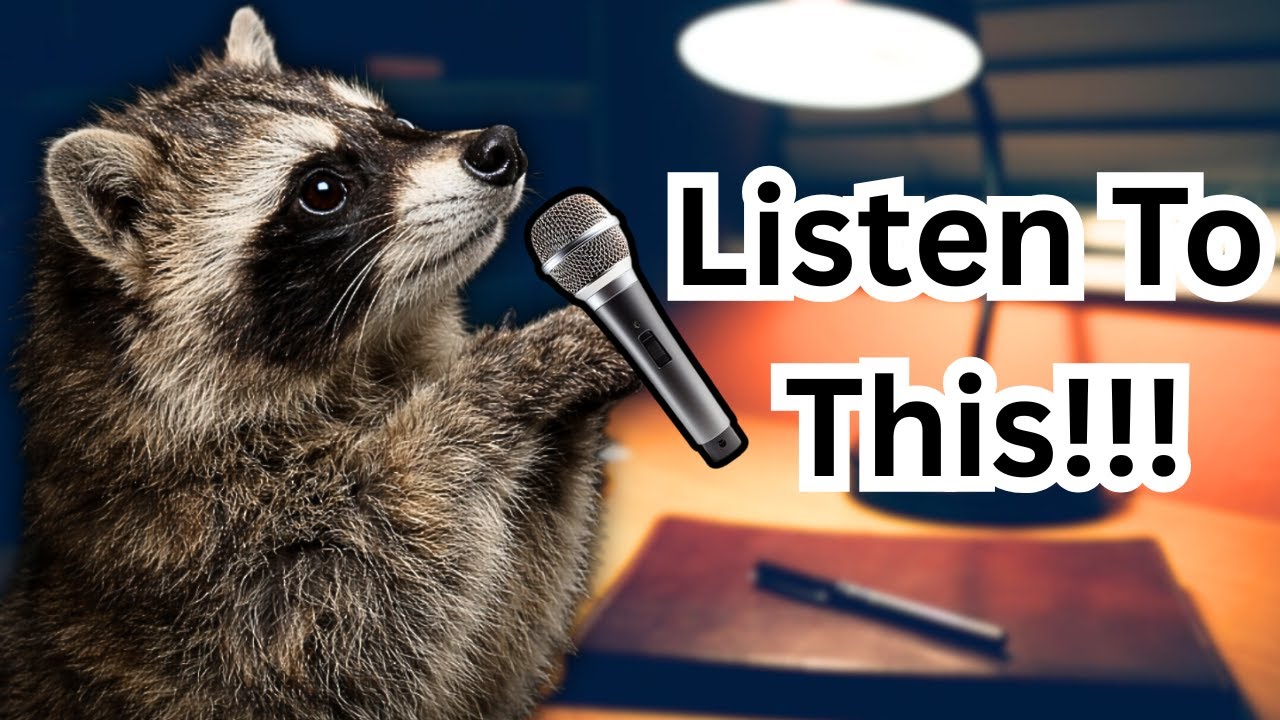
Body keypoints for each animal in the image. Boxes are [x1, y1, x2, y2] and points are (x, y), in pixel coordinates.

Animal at [0, 7, 637, 719]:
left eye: (393, 120)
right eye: (323, 188)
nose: (500, 147)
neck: (365, 361)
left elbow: (490, 663)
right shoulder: (209, 569)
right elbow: (379, 589)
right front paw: (507, 375)